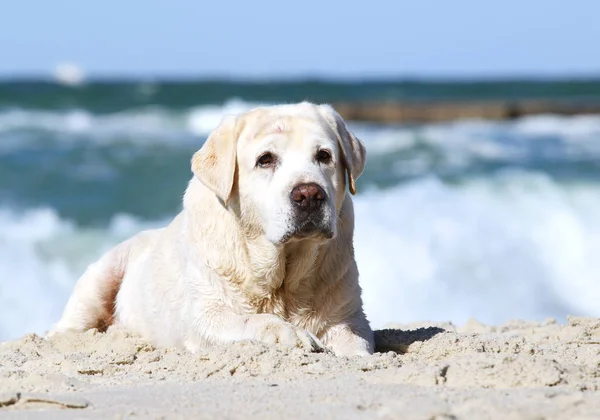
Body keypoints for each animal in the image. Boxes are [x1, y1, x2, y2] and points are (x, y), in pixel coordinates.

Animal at [54, 101, 378, 354]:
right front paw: (288, 332)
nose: (309, 194)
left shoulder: (350, 317)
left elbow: (354, 345)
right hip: (103, 274)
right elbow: (250, 319)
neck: (283, 279)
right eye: (265, 160)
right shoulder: (206, 314)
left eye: (324, 156)